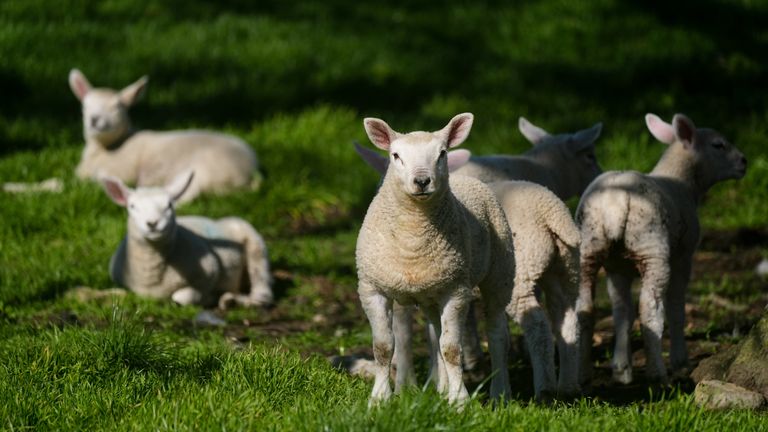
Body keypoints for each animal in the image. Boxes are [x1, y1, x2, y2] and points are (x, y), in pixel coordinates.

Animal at [69, 69, 259, 203]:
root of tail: (252, 169)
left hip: (205, 170)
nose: (94, 120)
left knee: (189, 193)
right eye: (84, 107)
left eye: (117, 107)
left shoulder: (121, 170)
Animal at [101, 171, 273, 310]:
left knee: (263, 290)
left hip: (255, 245)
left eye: (170, 205)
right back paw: (229, 299)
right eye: (132, 206)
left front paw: (208, 298)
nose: (152, 223)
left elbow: (182, 297)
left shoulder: (210, 270)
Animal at [355, 113, 515, 406]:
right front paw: (380, 399)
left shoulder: (457, 290)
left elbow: (452, 349)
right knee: (435, 332)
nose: (422, 181)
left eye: (442, 154)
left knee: (498, 333)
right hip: (432, 290)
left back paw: (500, 394)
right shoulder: (372, 288)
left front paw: (460, 401)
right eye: (395, 155)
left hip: (500, 273)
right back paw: (440, 387)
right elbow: (383, 347)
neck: (413, 239)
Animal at [576, 113, 747, 386]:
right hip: (652, 248)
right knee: (651, 308)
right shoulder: (684, 256)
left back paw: (582, 374)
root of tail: (615, 204)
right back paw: (658, 372)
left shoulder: (618, 267)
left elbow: (622, 312)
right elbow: (676, 307)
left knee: (585, 308)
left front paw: (621, 369)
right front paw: (680, 360)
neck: (681, 181)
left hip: (588, 247)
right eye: (718, 145)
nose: (744, 162)